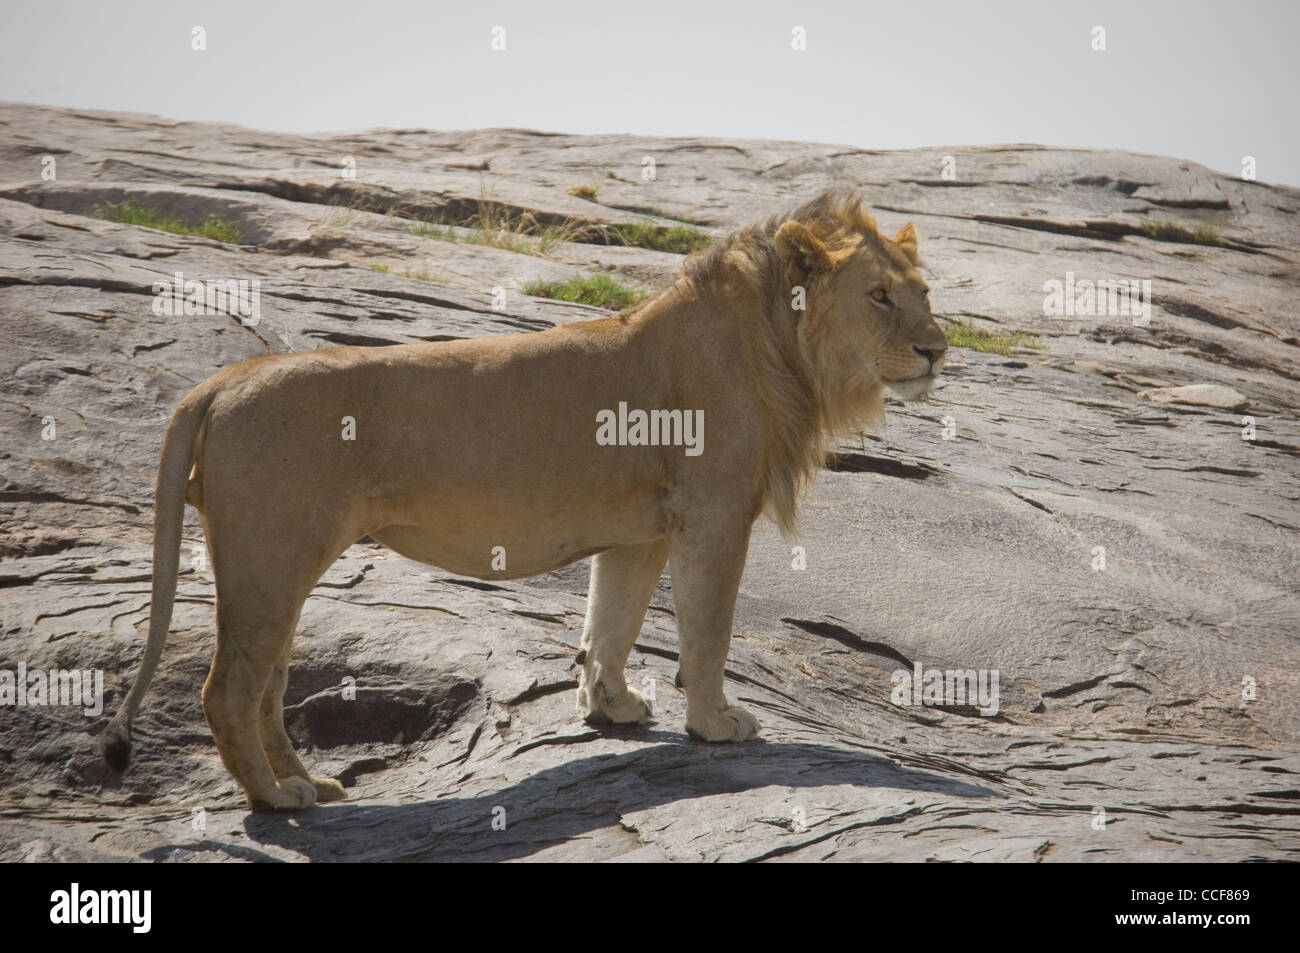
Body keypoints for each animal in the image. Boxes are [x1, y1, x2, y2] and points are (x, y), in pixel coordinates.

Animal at [101, 187, 951, 811]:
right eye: (879, 296)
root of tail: (221, 381)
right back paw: (276, 798)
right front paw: (716, 723)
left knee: (269, 682)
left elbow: (611, 622)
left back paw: (311, 781)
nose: (938, 350)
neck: (779, 340)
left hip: (277, 564)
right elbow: (706, 632)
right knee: (227, 688)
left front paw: (610, 707)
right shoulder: (711, 513)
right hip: (270, 558)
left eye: (925, 292)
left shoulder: (641, 529)